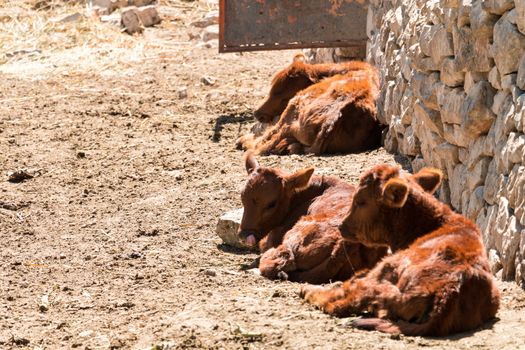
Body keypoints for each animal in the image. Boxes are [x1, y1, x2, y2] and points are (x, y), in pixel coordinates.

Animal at [298, 165, 500, 336]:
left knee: (346, 299)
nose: (341, 226)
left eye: (361, 201)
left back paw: (309, 291)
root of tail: (450, 287)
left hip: (386, 268)